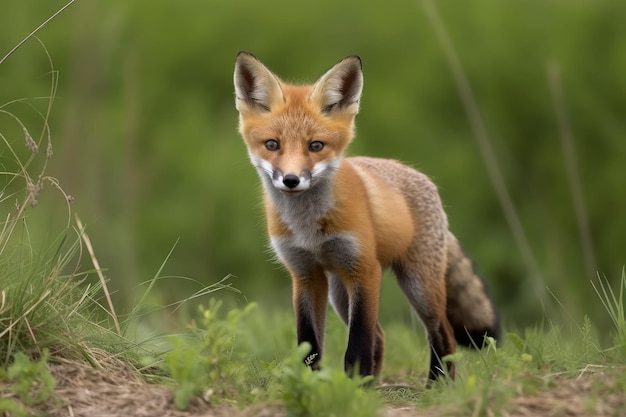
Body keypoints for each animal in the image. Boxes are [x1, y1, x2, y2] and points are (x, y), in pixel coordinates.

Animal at [233, 51, 498, 380]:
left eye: (316, 146)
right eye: (272, 144)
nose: (291, 180)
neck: (309, 228)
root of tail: (426, 181)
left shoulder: (365, 270)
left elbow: (358, 343)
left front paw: (351, 384)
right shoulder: (305, 274)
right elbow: (308, 343)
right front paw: (313, 382)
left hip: (418, 284)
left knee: (442, 332)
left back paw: (438, 383)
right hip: (339, 292)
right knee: (381, 335)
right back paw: (375, 382)